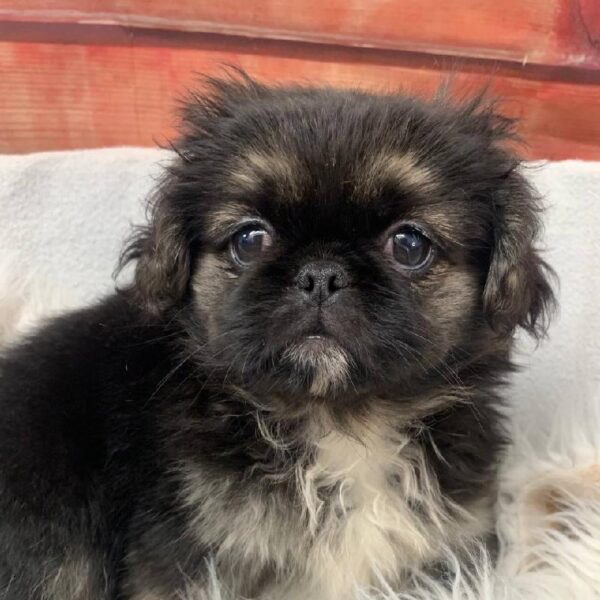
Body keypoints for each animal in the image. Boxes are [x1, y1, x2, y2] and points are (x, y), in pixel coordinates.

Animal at [0, 76, 552, 600]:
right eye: (250, 239)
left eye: (410, 245)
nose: (321, 275)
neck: (339, 423)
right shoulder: (186, 566)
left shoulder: (451, 552)